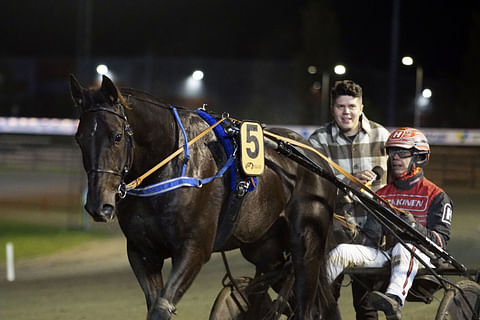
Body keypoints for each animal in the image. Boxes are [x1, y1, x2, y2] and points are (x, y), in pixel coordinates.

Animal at [69, 75, 336, 320]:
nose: (98, 205)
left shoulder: (194, 248)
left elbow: (161, 307)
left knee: (307, 307)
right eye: (79, 139)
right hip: (265, 249)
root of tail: (317, 157)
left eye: (116, 136)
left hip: (306, 243)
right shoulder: (142, 253)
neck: (171, 165)